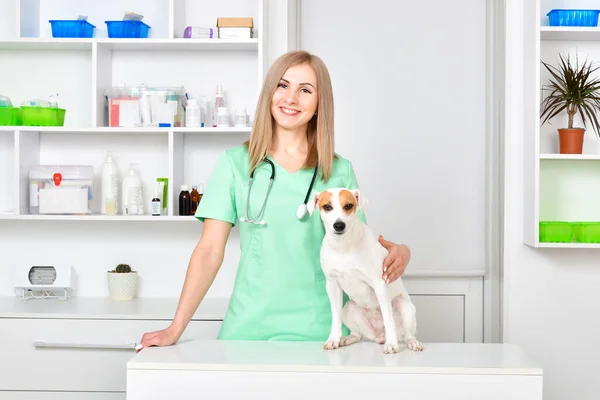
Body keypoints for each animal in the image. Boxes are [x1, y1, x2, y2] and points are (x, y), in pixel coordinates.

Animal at [310, 188, 422, 354]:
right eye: (327, 207)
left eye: (348, 205)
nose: (339, 225)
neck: (343, 246)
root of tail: (379, 334)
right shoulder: (332, 284)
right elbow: (335, 317)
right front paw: (333, 339)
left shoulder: (379, 283)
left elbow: (388, 318)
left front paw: (392, 344)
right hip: (349, 309)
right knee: (357, 334)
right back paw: (346, 339)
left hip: (405, 308)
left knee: (407, 333)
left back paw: (411, 342)